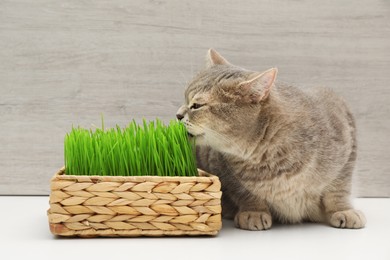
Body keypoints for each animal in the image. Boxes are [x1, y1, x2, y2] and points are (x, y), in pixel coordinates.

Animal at [177, 48, 366, 230]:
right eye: (185, 99)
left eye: (196, 105)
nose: (178, 115)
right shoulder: (223, 169)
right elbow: (245, 192)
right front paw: (254, 212)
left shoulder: (346, 137)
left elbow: (338, 189)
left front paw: (343, 210)